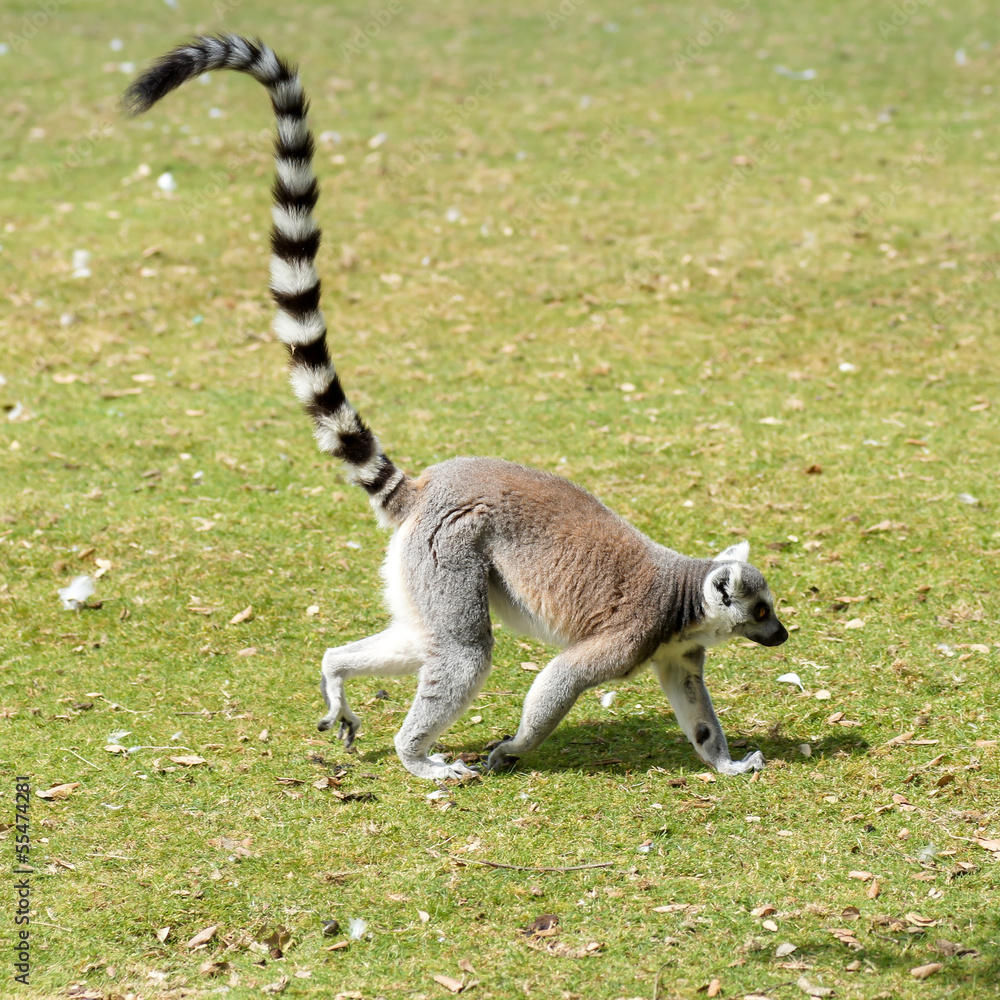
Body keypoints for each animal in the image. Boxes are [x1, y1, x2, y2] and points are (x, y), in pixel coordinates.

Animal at [123, 34, 788, 781]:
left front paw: (727, 765)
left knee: (425, 639)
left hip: (419, 571)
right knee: (466, 650)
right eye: (759, 609)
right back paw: (417, 757)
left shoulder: (676, 653)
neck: (685, 602)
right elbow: (559, 679)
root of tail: (426, 490)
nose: (784, 633)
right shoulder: (633, 634)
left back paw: (337, 673)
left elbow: (694, 708)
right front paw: (513, 749)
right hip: (452, 551)